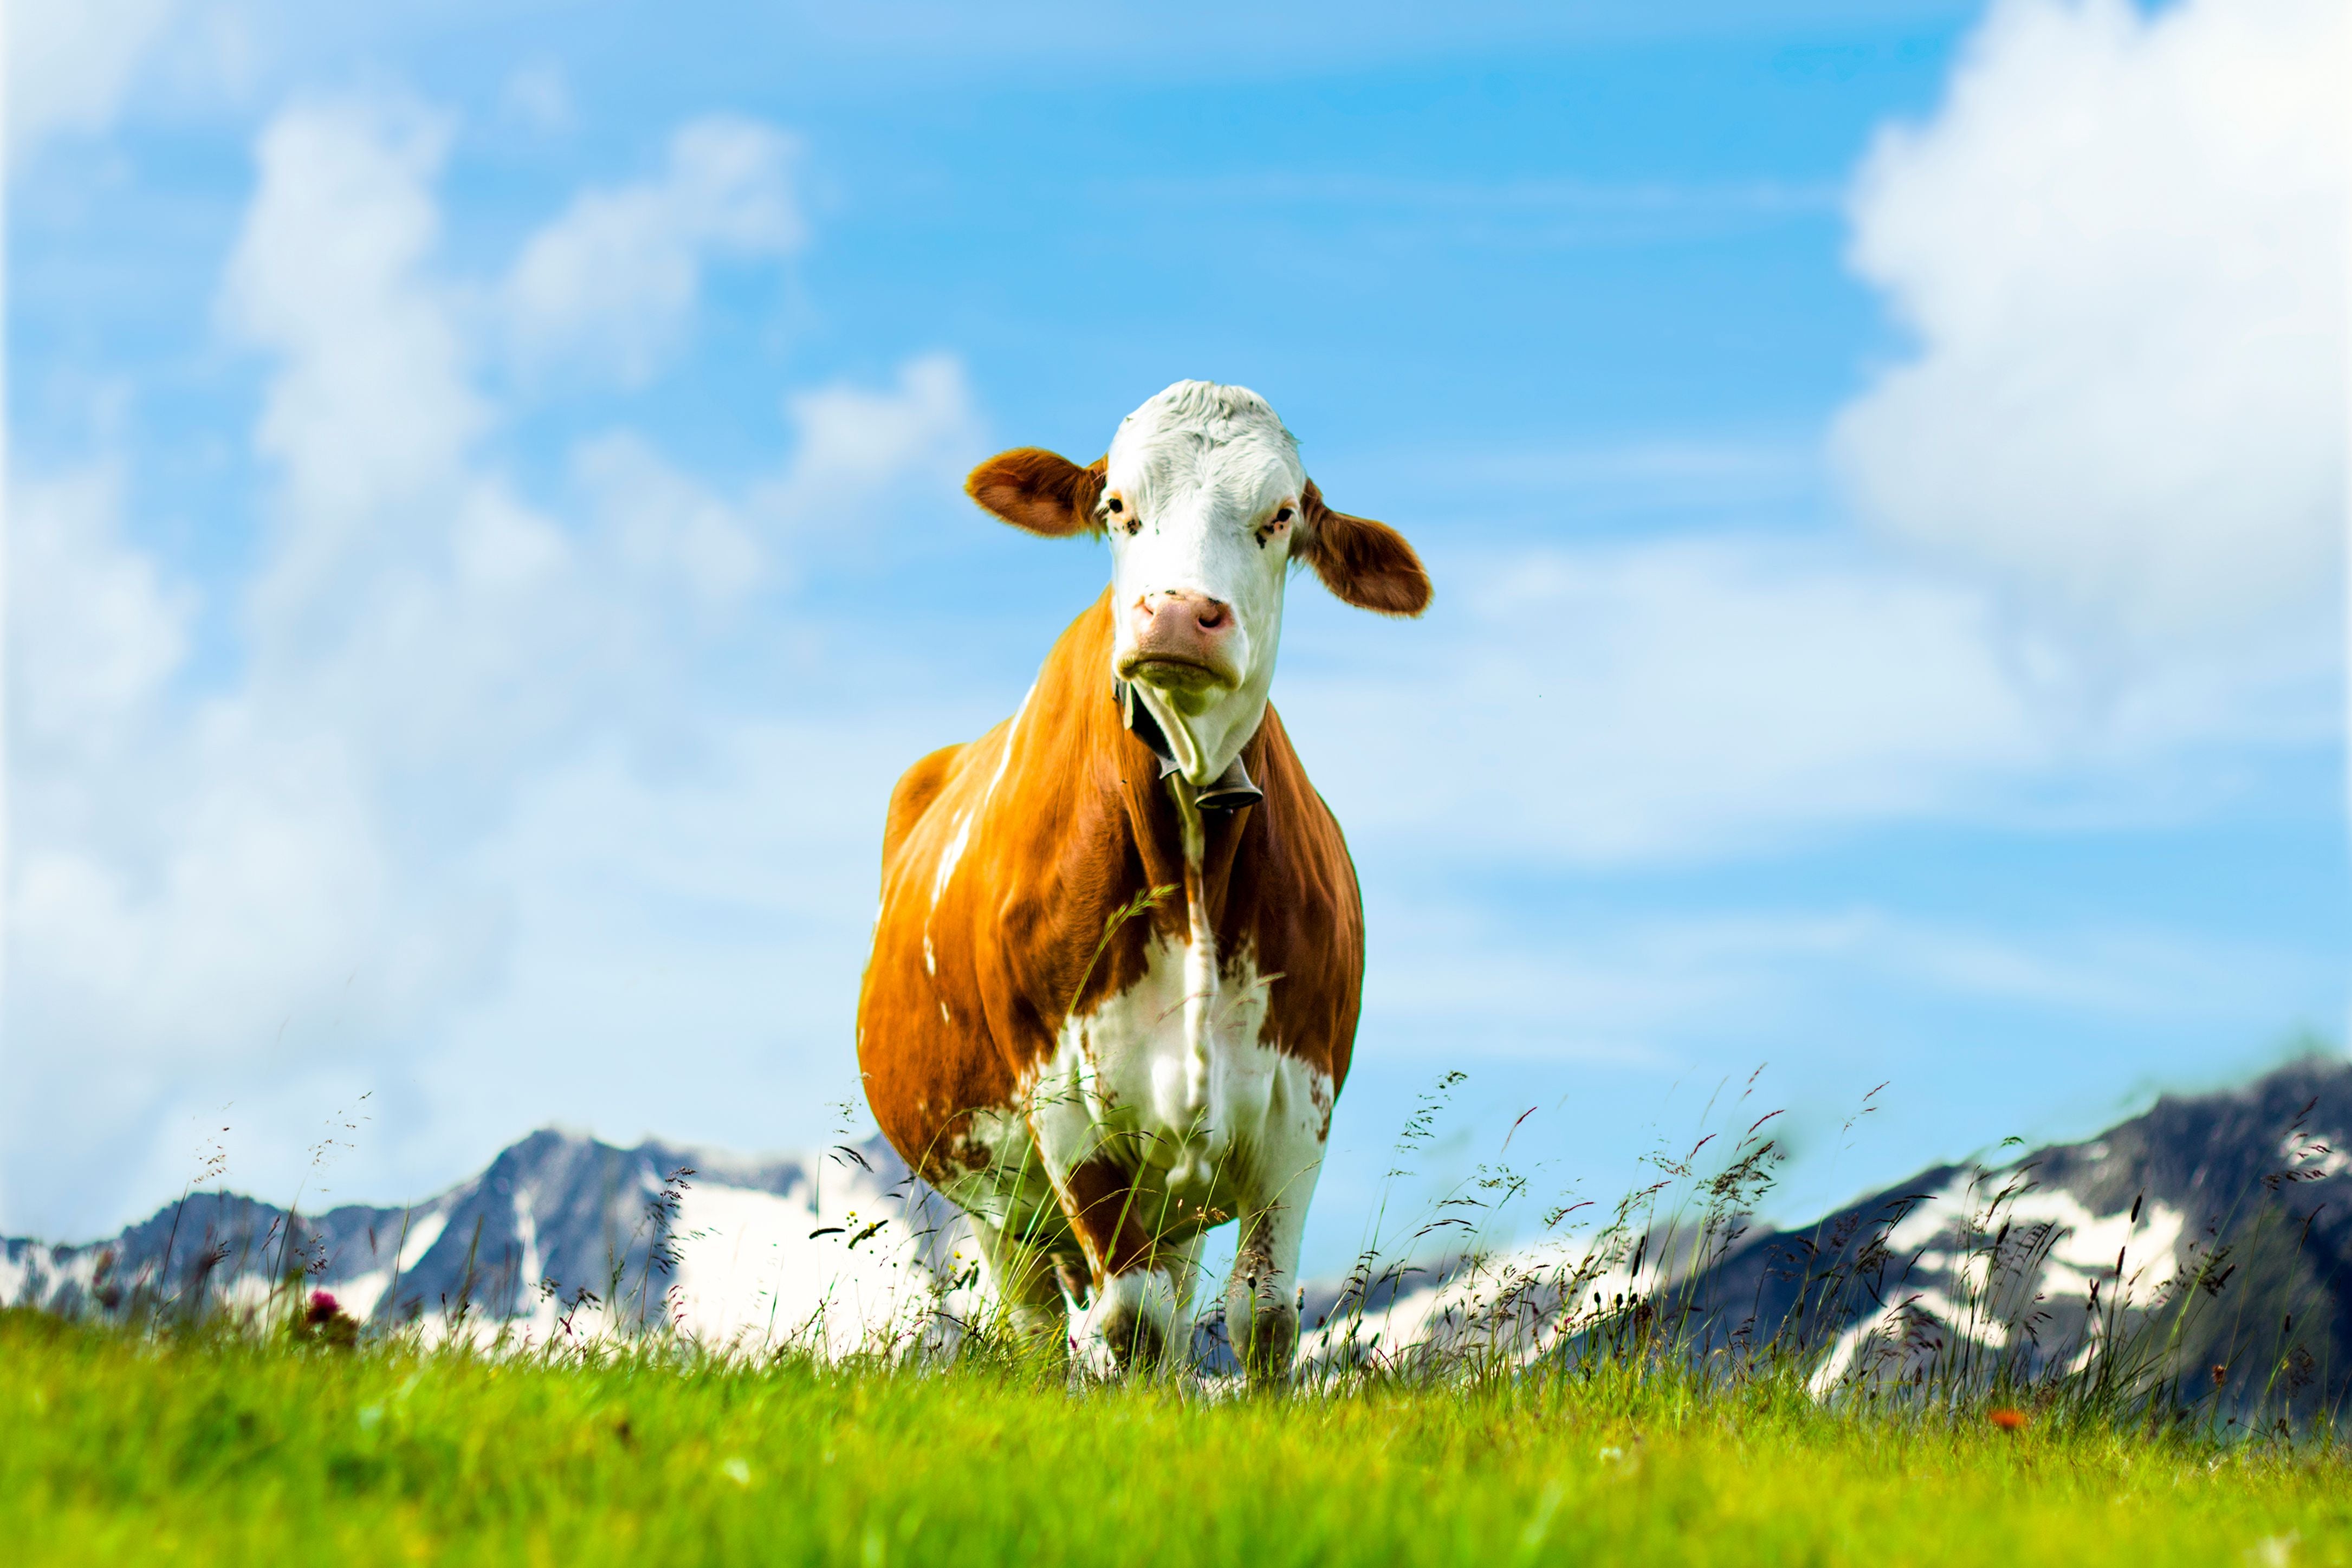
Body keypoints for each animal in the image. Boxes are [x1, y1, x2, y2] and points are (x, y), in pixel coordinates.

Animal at [856, 380, 1429, 1380]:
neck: (1190, 847)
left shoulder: (1298, 1106)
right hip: (995, 1195)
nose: (1176, 614)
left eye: (1280, 516)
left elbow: (1262, 1316)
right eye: (1116, 506)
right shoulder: (1066, 1109)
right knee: (1041, 1325)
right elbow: (1132, 1323)